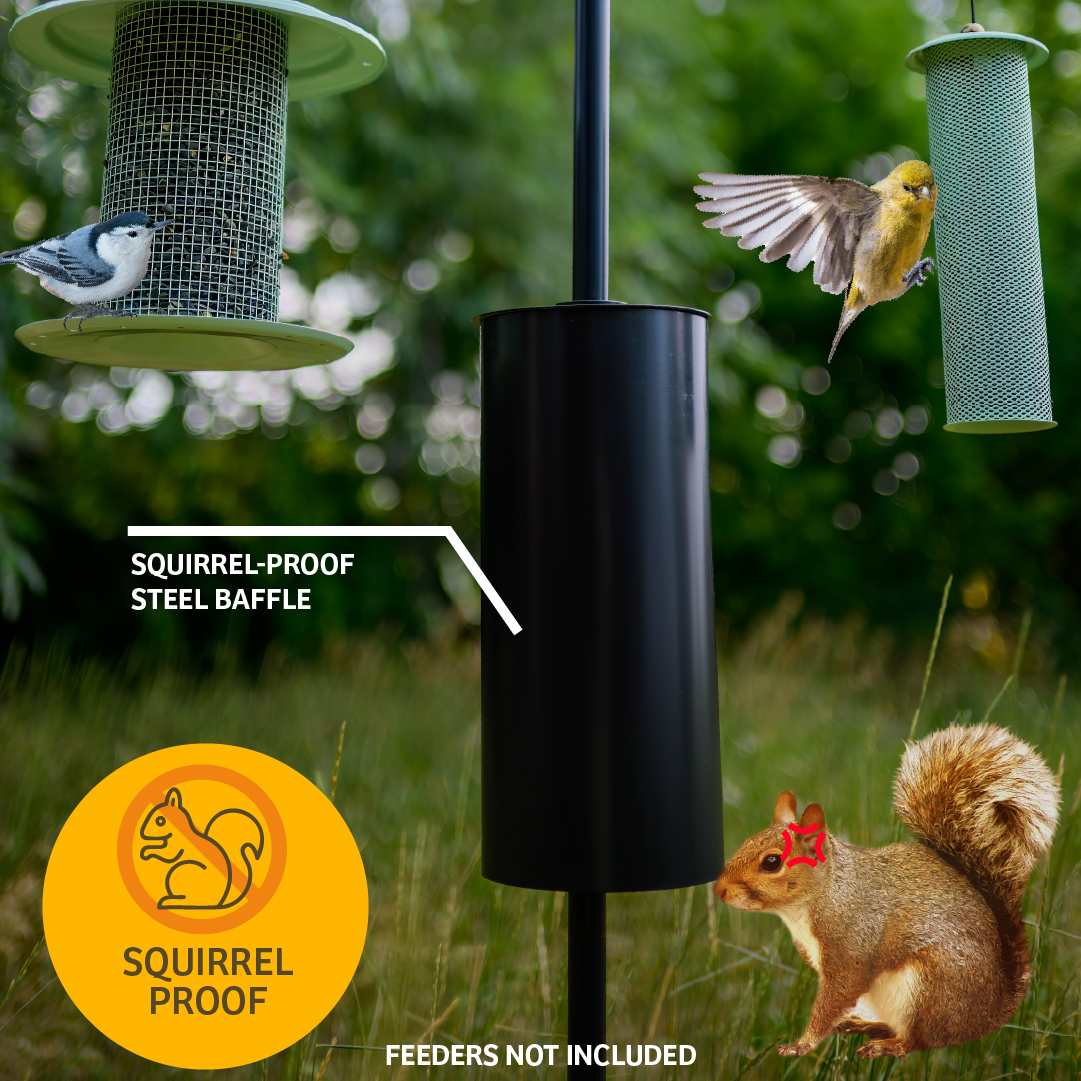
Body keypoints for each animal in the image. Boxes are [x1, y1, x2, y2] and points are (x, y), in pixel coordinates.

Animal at [714, 723, 1060, 1059]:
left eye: (772, 862)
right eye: (746, 842)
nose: (719, 890)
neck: (819, 897)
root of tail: (989, 1012)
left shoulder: (851, 946)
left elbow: (837, 994)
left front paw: (801, 1045)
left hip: (928, 989)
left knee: (917, 1040)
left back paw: (885, 1046)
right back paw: (864, 1024)